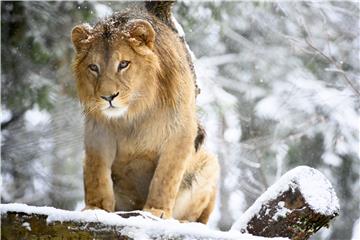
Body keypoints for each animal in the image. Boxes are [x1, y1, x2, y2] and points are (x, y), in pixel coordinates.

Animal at [69, 7, 218, 225]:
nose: (108, 97)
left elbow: (165, 178)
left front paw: (156, 211)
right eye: (93, 67)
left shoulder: (181, 131)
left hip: (210, 163)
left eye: (123, 64)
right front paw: (96, 208)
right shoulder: (98, 130)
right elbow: (97, 174)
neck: (134, 112)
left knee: (198, 218)